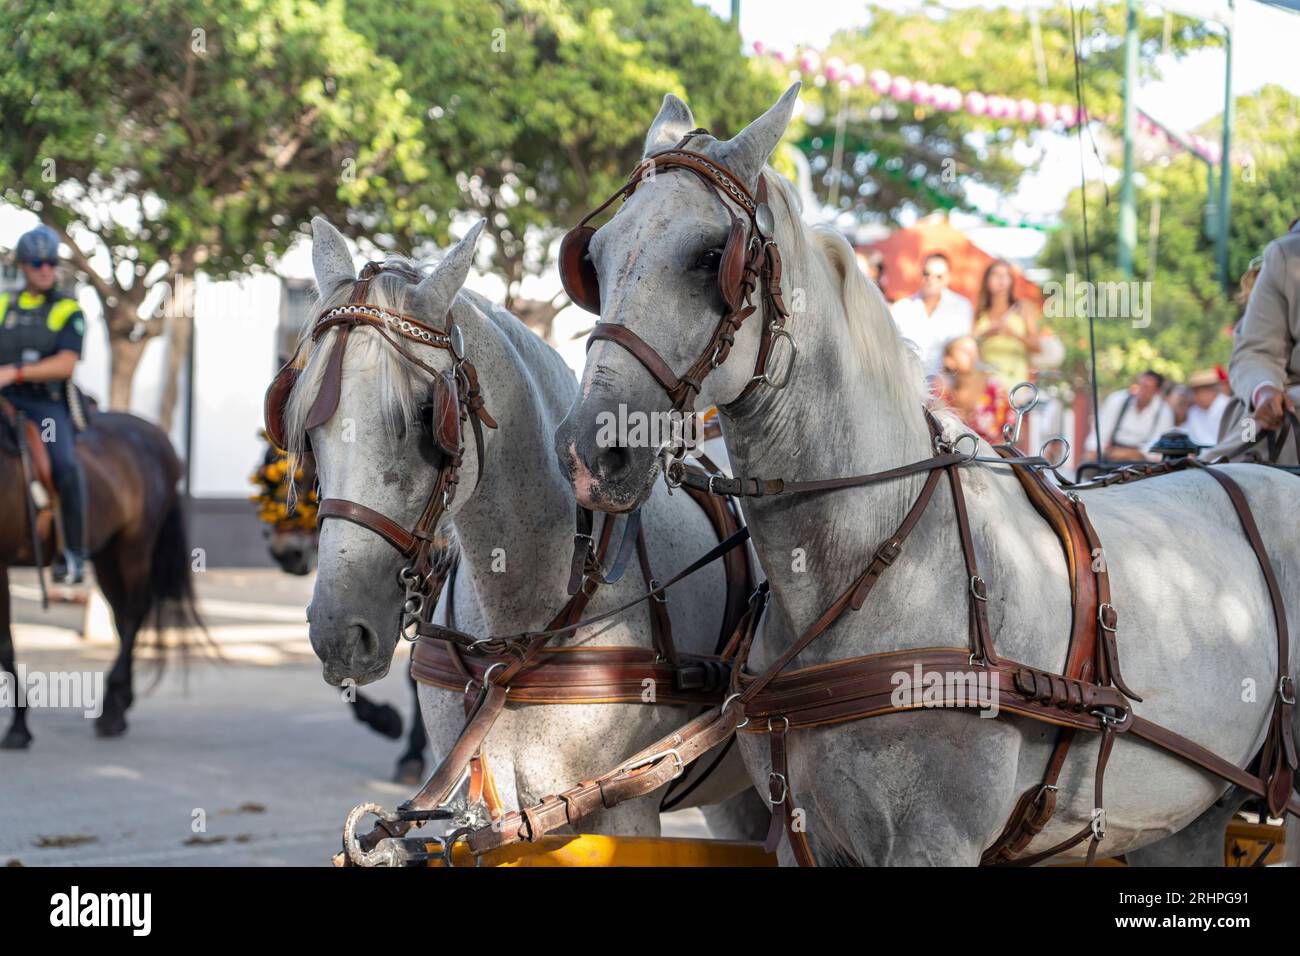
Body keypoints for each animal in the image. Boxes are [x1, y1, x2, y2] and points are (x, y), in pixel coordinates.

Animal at [1, 400, 201, 749]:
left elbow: (4, 644)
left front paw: (19, 726)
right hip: (107, 554)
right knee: (121, 616)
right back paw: (120, 701)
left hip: (134, 546)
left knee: (134, 612)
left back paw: (111, 712)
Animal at [551, 85, 1300, 868]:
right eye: (594, 259)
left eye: (708, 258)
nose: (588, 450)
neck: (872, 561)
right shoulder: (802, 834)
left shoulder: (935, 843)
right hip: (1187, 818)